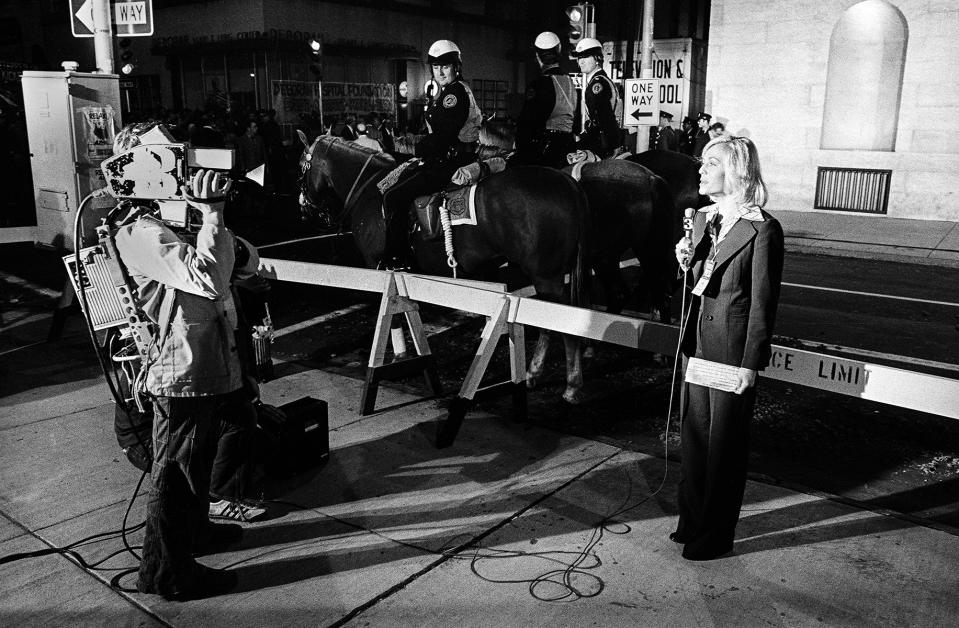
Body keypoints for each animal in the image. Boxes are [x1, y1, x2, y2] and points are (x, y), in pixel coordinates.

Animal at [302, 136, 592, 402]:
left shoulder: (380, 267)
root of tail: (567, 182)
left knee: (559, 326)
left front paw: (397, 356)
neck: (369, 189)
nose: (306, 210)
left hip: (546, 276)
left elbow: (392, 315)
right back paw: (536, 374)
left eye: (301, 168)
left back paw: (569, 384)